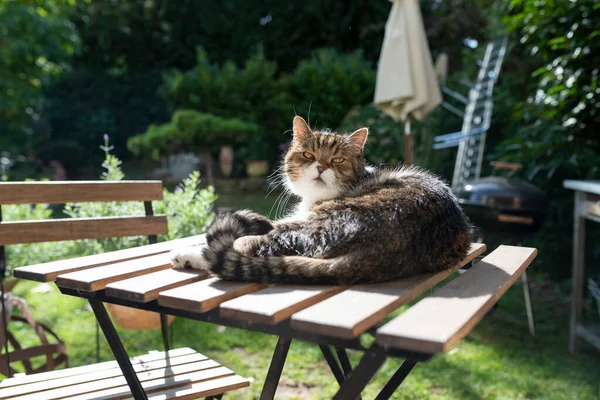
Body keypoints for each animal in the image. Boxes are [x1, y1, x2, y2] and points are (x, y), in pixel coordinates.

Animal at [170, 115, 474, 284]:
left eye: (337, 159)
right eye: (309, 155)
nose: (321, 166)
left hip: (311, 225)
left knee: (249, 246)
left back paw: (189, 255)